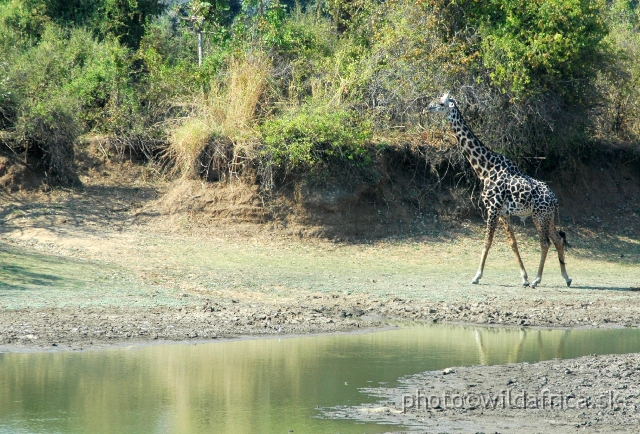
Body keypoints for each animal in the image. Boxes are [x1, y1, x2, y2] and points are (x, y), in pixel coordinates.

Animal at [428, 93, 572, 288]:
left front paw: (477, 276)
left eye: (441, 103)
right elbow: (513, 243)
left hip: (539, 216)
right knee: (557, 239)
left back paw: (537, 280)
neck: (484, 169)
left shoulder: (492, 208)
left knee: (545, 243)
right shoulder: (504, 212)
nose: (428, 107)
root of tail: (555, 200)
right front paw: (524, 278)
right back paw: (566, 277)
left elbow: (487, 242)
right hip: (547, 217)